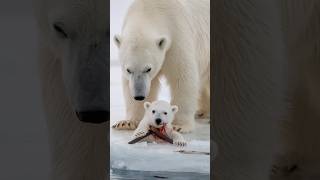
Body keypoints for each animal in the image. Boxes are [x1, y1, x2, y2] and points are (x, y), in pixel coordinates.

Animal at [112, 0, 210, 132]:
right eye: (128, 70)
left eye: (148, 69)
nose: (139, 96)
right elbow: (130, 85)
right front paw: (127, 122)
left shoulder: (177, 38)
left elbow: (182, 78)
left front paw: (178, 126)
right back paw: (202, 112)